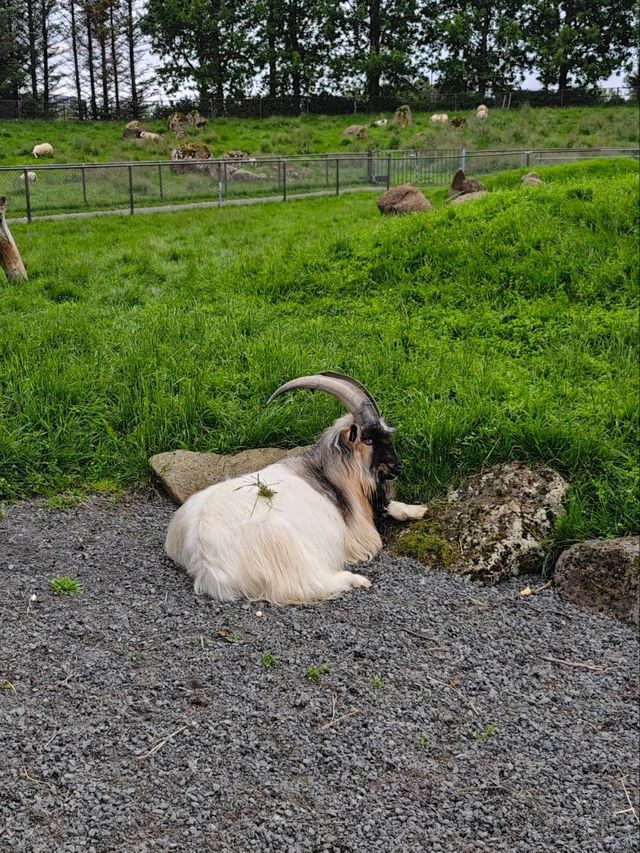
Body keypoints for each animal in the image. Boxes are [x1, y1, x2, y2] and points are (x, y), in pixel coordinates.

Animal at [165, 370, 428, 604]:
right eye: (370, 440)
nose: (398, 466)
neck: (327, 475)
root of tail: (206, 562)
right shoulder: (358, 533)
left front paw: (418, 510)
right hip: (284, 546)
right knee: (307, 585)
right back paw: (355, 580)